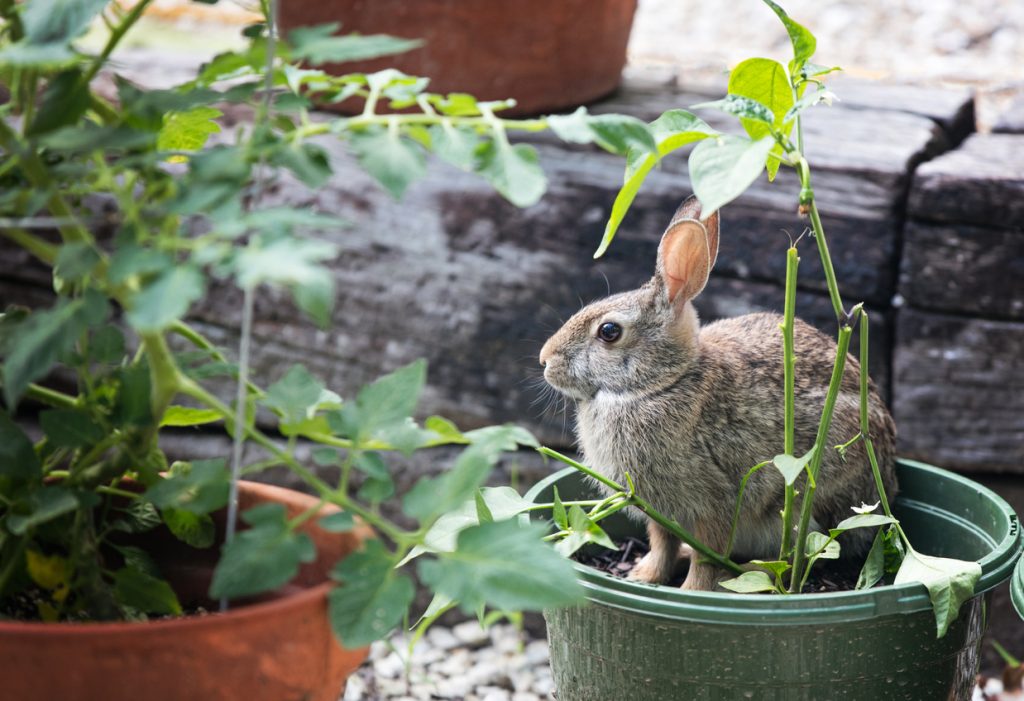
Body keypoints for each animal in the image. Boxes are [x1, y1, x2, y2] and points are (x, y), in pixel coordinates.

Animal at [538, 196, 898, 591]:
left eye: (609, 332)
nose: (545, 360)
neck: (662, 383)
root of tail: (888, 483)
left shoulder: (715, 502)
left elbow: (706, 555)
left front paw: (690, 591)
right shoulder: (659, 511)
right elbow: (661, 543)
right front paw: (644, 577)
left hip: (812, 497)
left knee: (803, 555)